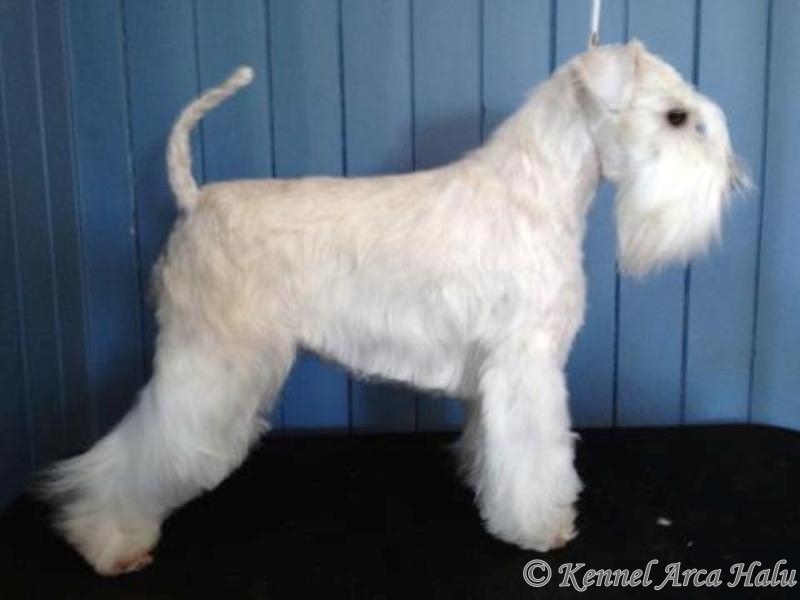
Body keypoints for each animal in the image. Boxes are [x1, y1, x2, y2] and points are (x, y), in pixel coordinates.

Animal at [42, 40, 747, 575]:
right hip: (212, 361)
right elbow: (537, 453)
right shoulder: (527, 364)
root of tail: (195, 200)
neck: (535, 192)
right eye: (676, 117)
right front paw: (541, 526)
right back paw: (109, 540)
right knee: (144, 445)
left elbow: (495, 446)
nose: (736, 181)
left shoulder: (494, 373)